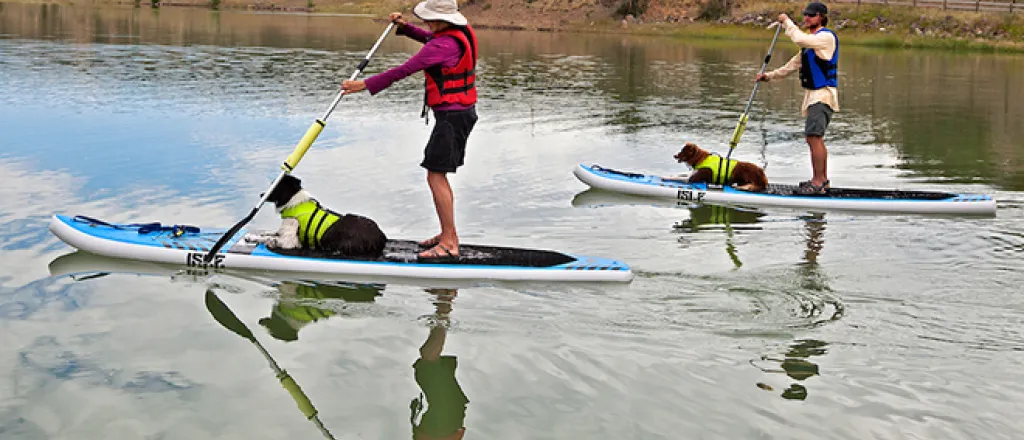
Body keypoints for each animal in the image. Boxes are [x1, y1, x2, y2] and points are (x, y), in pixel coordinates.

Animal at [258, 173, 389, 259]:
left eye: (273, 187)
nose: (261, 195)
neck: (293, 202)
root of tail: (381, 236)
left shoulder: (289, 242)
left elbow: (273, 239)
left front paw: (267, 241)